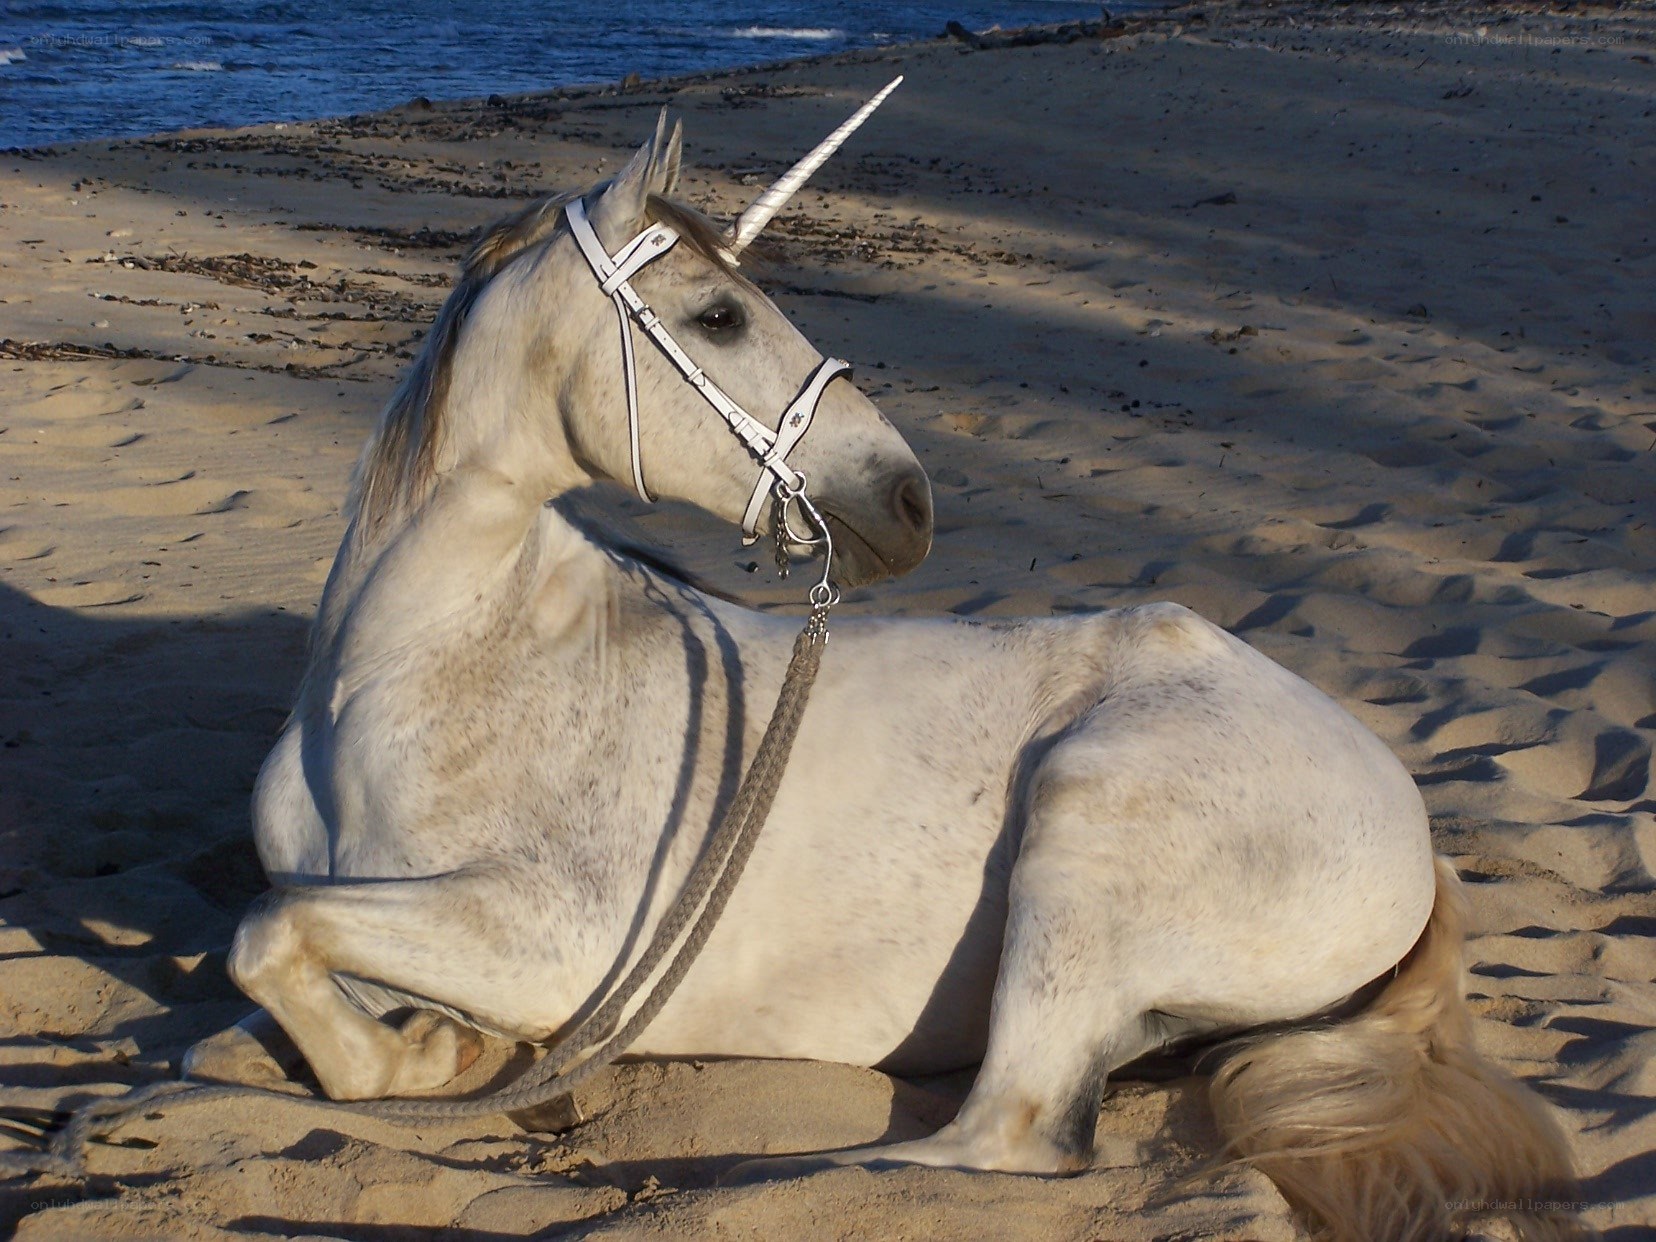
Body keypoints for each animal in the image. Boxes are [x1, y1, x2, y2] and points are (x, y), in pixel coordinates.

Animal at [182, 94, 1578, 1241]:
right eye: (719, 315)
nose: (906, 501)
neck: (426, 670)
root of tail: (1412, 826)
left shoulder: (551, 947)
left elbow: (270, 937)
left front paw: (422, 1061)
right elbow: (234, 1022)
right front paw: (418, 1047)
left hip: (1083, 840)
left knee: (1003, 1139)